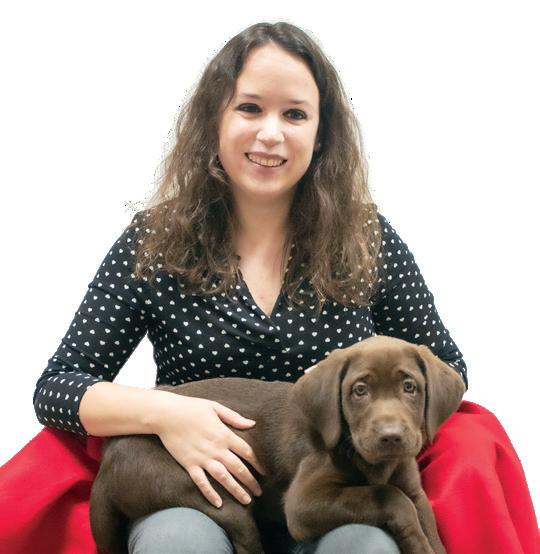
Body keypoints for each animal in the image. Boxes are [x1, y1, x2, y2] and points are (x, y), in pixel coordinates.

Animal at [89, 335, 465, 554]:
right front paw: (417, 541)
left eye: (410, 387)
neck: (373, 464)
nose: (391, 436)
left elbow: (423, 518)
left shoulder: (416, 491)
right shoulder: (303, 504)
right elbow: (391, 497)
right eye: (360, 391)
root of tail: (108, 460)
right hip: (212, 493)